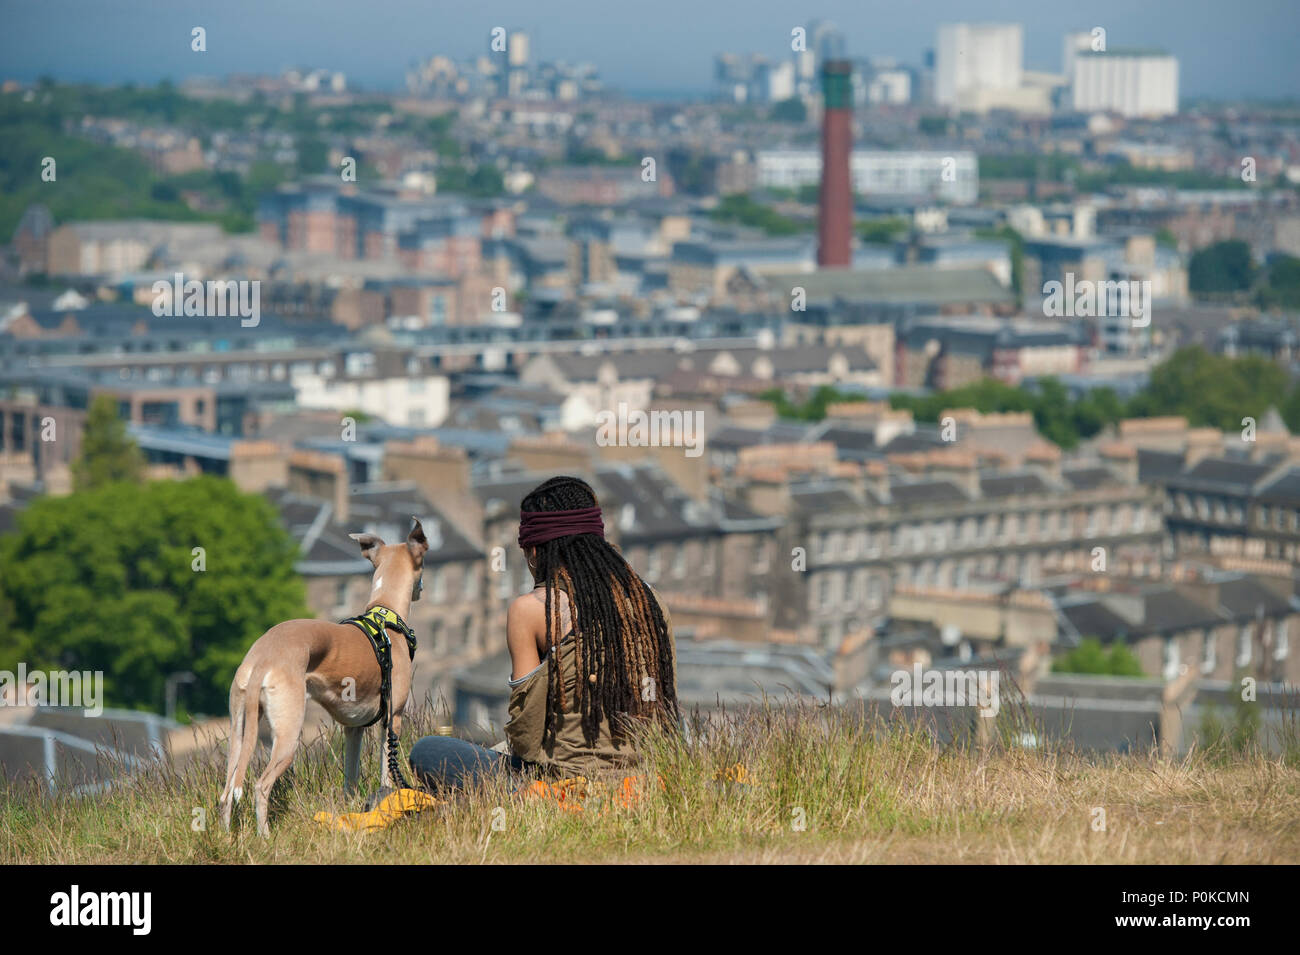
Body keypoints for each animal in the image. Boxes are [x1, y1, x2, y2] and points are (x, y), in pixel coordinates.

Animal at [220, 514, 428, 836]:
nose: (423, 589)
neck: (385, 616)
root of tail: (263, 658)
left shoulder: (353, 729)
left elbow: (350, 780)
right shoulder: (392, 718)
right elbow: (386, 772)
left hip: (239, 729)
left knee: (228, 789)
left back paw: (227, 837)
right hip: (287, 736)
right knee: (260, 786)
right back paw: (264, 836)